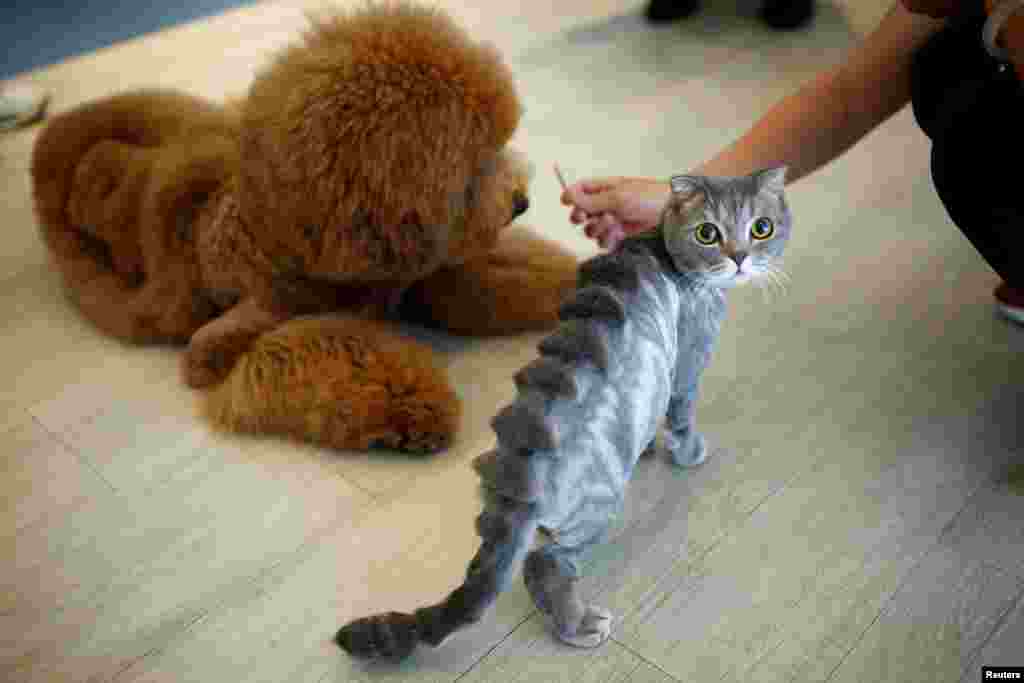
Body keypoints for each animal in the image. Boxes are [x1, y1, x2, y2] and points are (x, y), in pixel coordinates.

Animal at [335, 163, 790, 655]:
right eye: (708, 233)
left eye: (761, 228)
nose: (740, 257)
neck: (663, 248)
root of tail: (521, 469)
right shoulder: (688, 358)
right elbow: (682, 413)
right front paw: (688, 451)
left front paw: (651, 445)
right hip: (599, 502)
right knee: (544, 563)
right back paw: (577, 624)